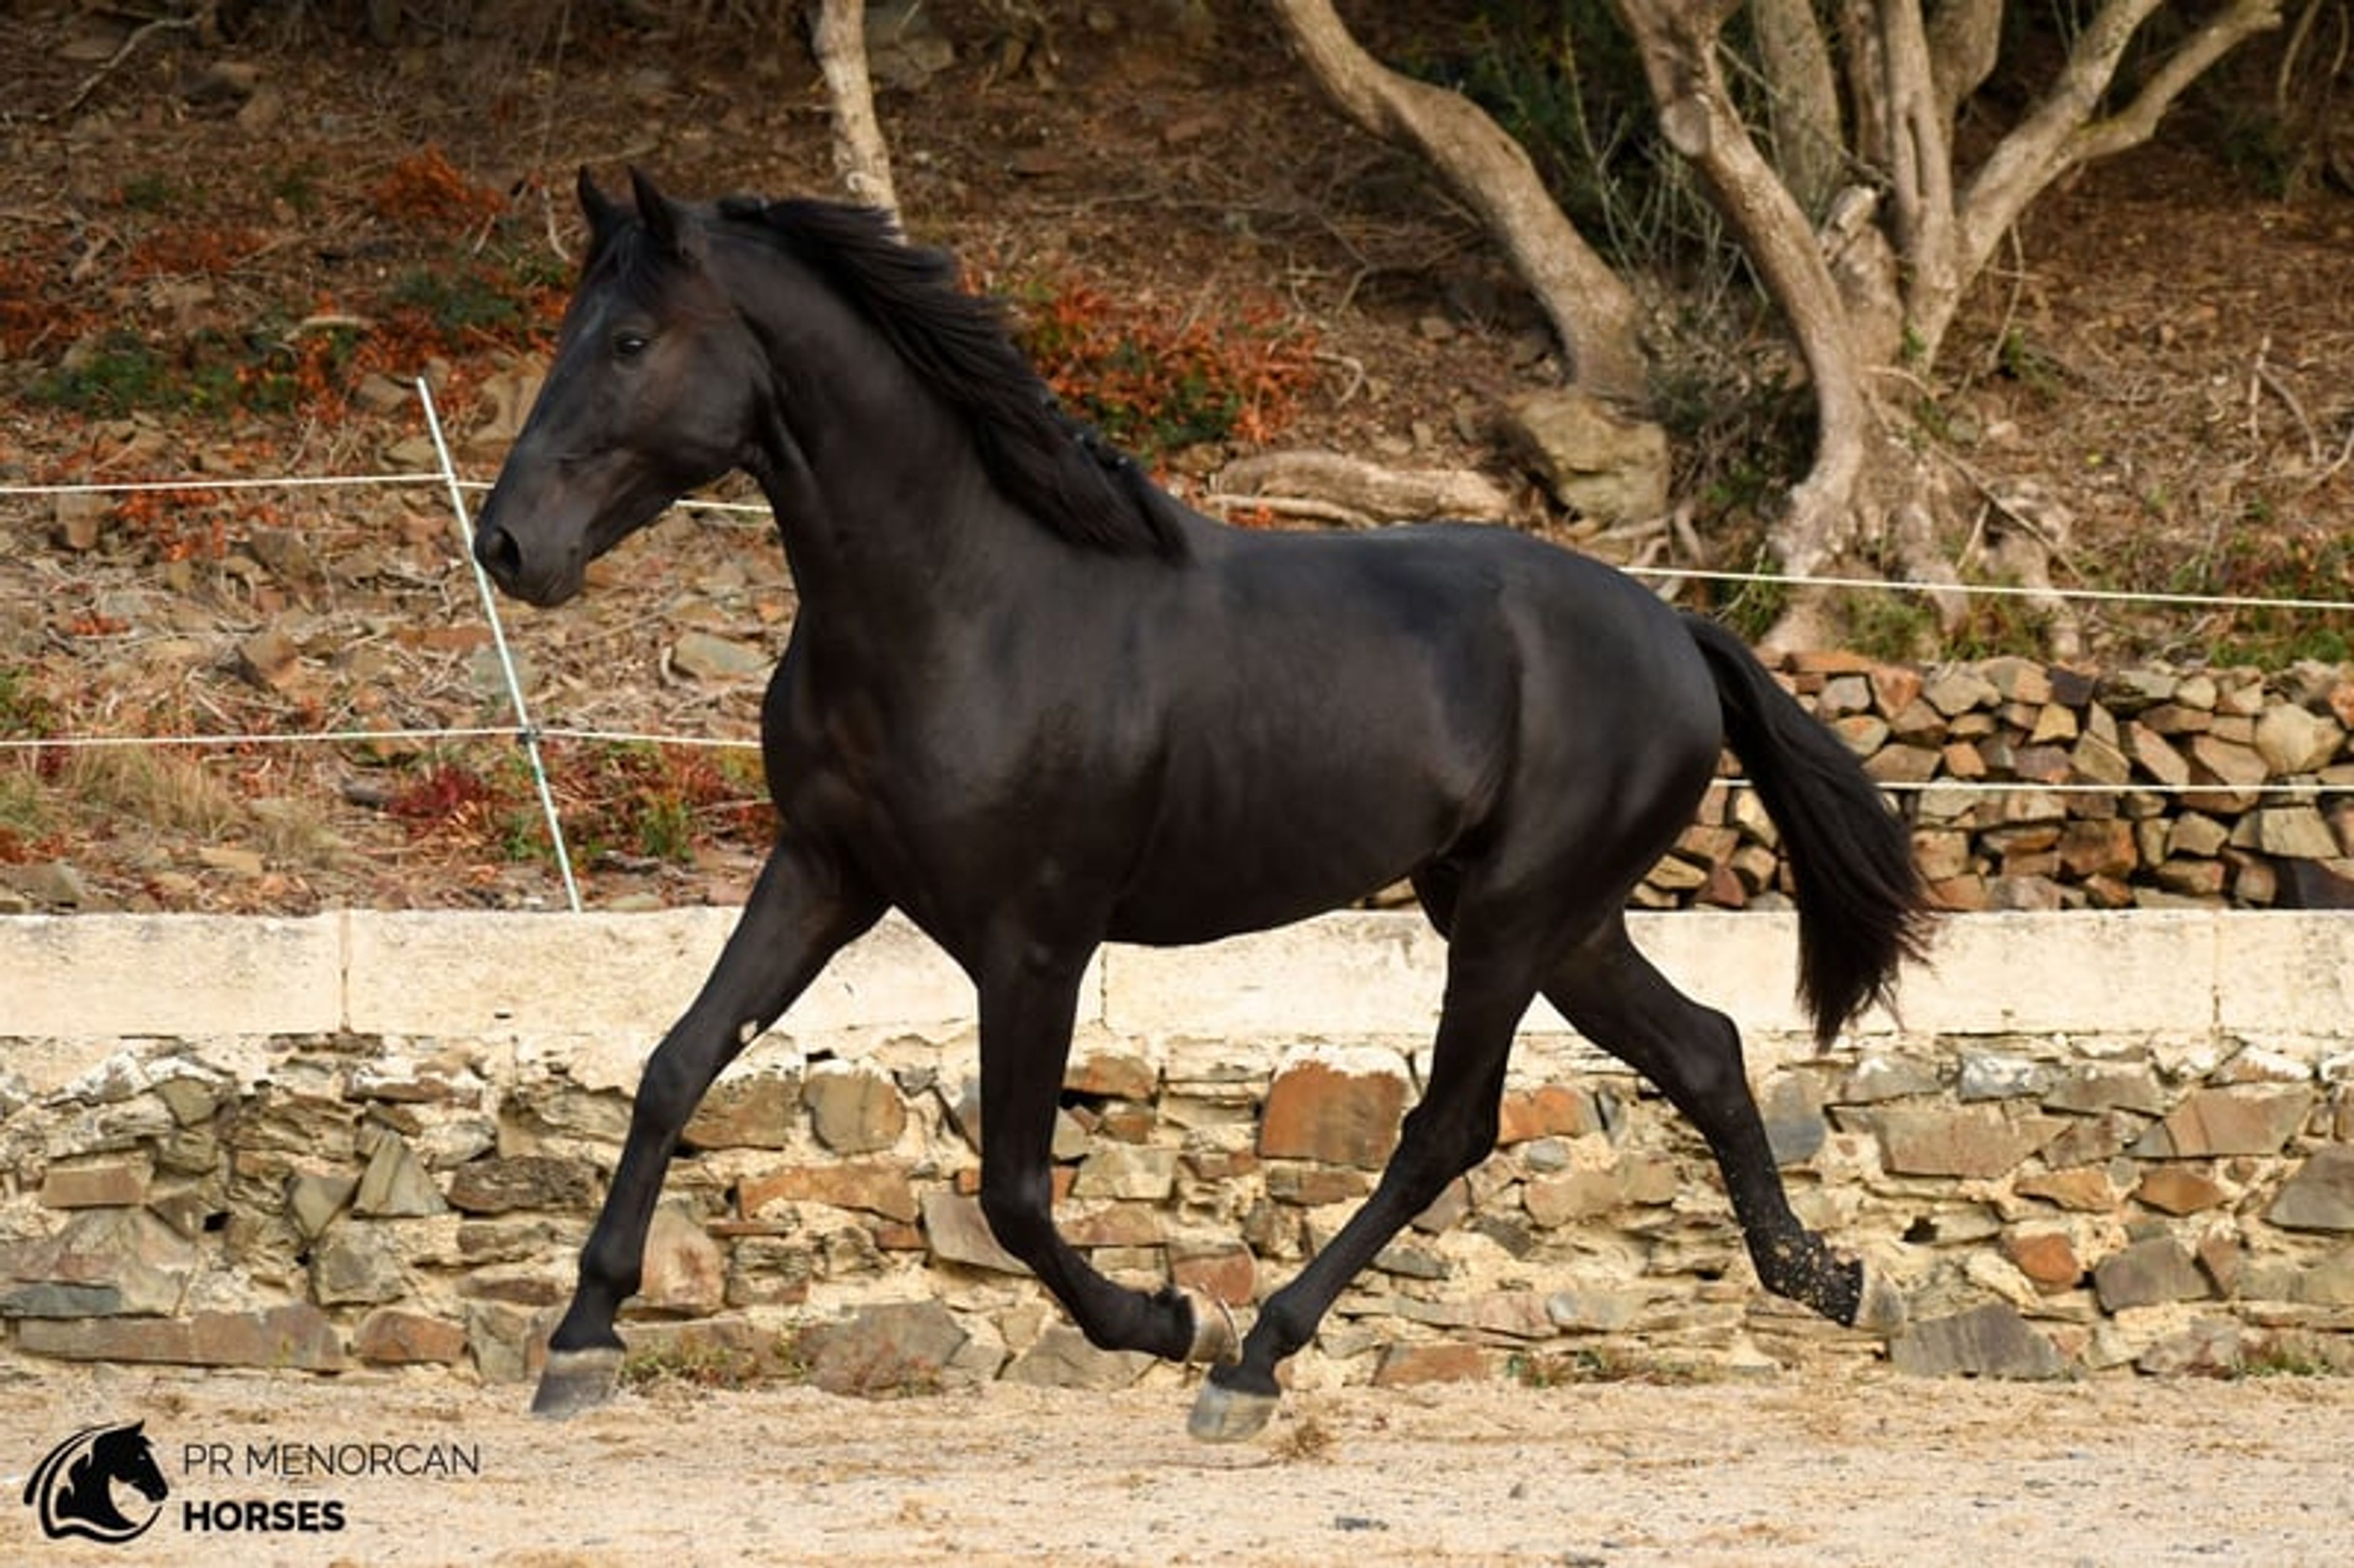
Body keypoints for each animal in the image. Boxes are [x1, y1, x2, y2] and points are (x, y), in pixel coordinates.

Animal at [473, 168, 1933, 1440]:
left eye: (630, 338)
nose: (506, 543)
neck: (970, 607)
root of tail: (1680, 631)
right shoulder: (826, 870)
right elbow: (676, 1064)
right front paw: (582, 1340)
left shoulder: (1035, 941)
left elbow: (1015, 1192)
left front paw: (1169, 1318)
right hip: (1554, 919)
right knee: (1704, 1049)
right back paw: (1827, 1279)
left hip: (1517, 918)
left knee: (1449, 1128)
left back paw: (1253, 1359)